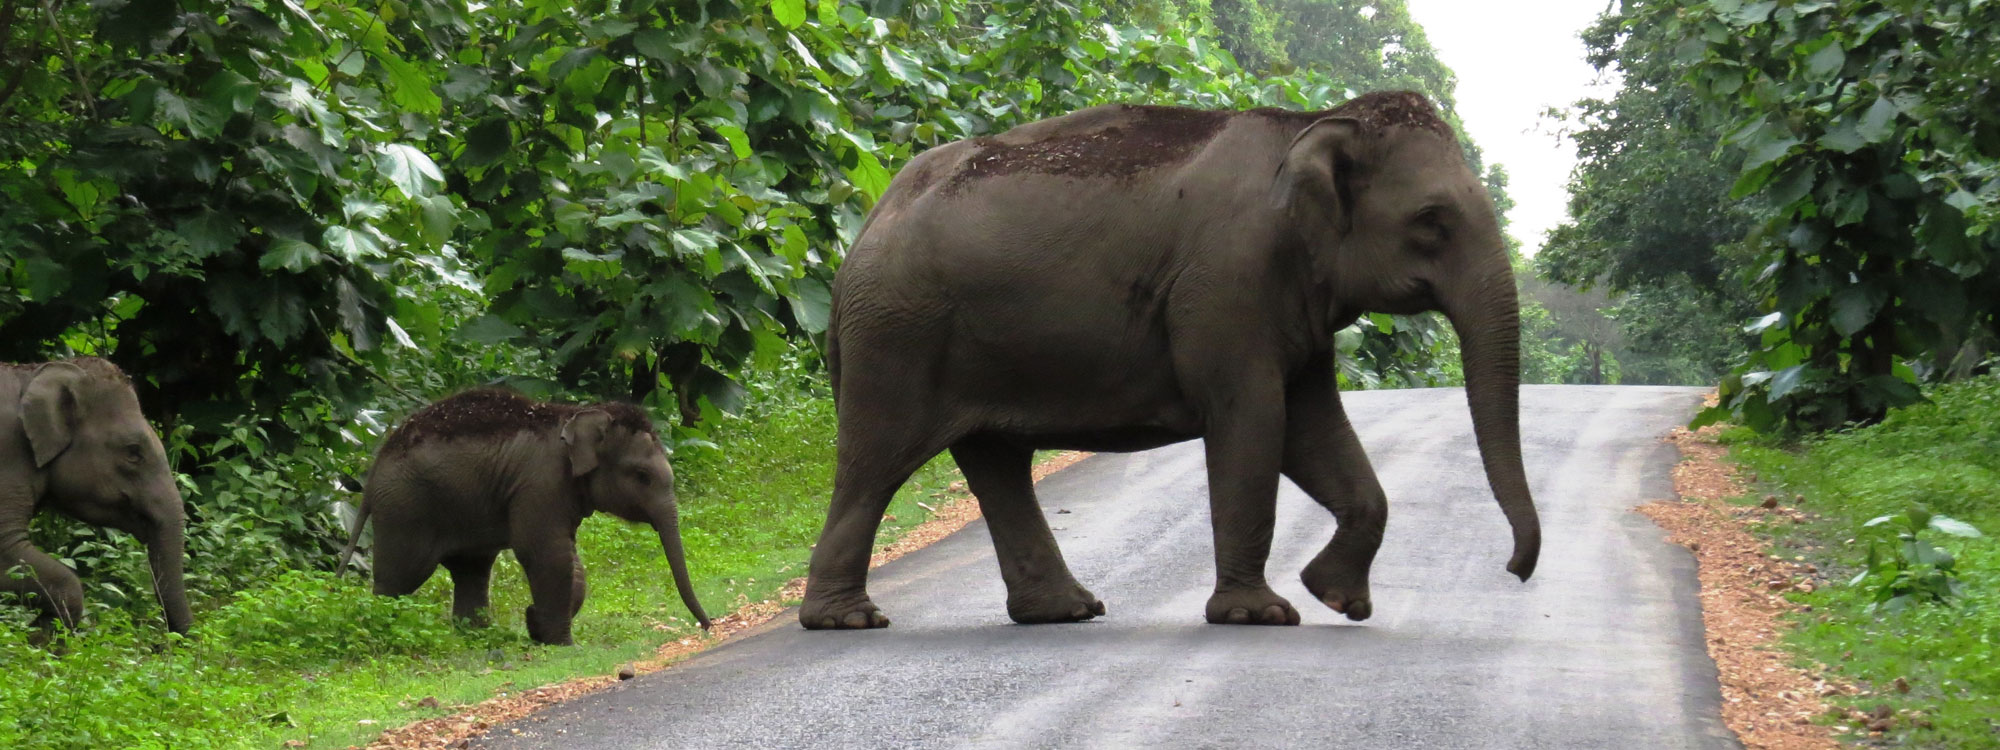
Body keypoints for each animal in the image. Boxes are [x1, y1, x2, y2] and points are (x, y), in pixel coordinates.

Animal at [342, 388, 712, 648]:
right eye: (642, 476)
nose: (708, 627)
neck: (574, 415)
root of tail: (374, 468)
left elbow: (569, 558)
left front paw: (537, 626)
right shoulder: (541, 484)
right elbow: (546, 552)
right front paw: (563, 644)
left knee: (472, 570)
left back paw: (480, 636)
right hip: (405, 510)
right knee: (399, 578)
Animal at [800, 91, 1544, 632]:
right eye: (1432, 220)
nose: (1513, 571)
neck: (1310, 123)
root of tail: (867, 222)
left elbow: (1314, 430)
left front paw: (1337, 599)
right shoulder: (1226, 284)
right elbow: (1252, 420)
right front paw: (1259, 615)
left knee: (996, 464)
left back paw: (1066, 611)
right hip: (897, 335)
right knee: (875, 463)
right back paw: (848, 621)